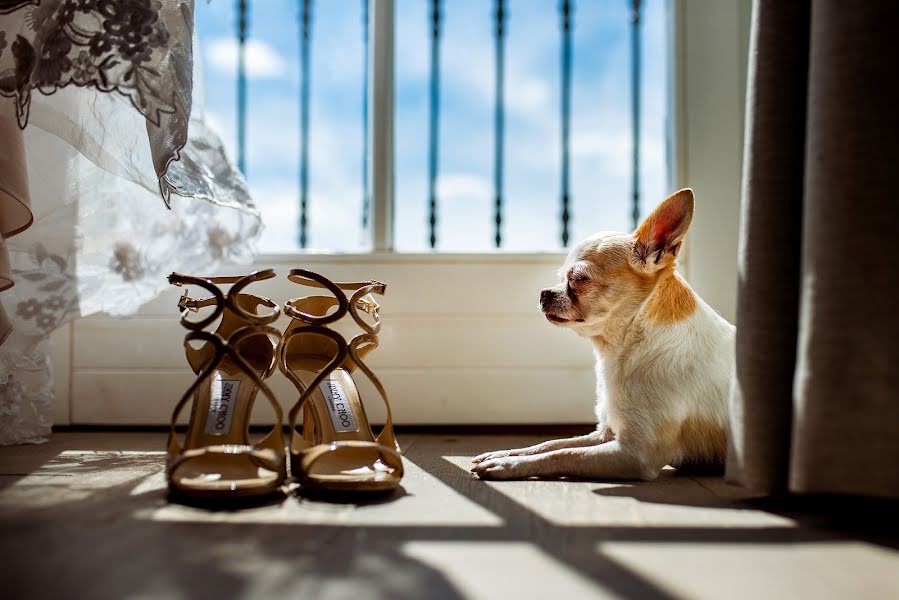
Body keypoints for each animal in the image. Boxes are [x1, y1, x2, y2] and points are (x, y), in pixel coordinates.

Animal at [468, 190, 736, 480]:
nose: (543, 293)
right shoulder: (605, 433)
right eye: (560, 277)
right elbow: (551, 443)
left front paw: (509, 465)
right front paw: (504, 453)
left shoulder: (634, 454)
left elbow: (564, 454)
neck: (622, 348)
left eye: (578, 279)